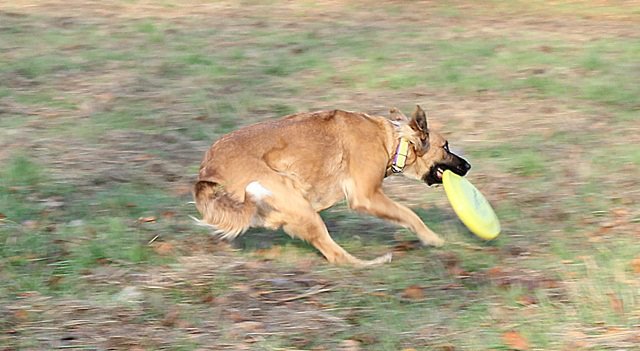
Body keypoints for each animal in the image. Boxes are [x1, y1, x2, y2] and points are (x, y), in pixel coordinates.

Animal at [191, 105, 470, 266]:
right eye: (445, 147)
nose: (468, 166)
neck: (392, 141)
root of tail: (207, 171)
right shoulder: (367, 196)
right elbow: (410, 215)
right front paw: (433, 239)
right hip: (297, 203)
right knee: (338, 257)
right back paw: (374, 262)